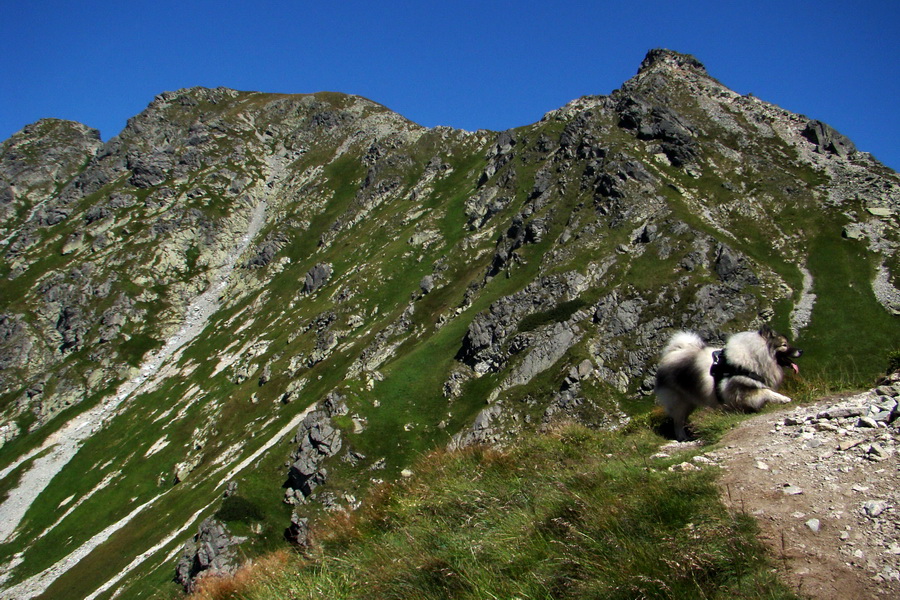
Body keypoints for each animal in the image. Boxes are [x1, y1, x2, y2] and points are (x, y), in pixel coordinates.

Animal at [652, 326, 800, 442]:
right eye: (784, 345)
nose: (801, 351)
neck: (754, 359)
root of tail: (674, 352)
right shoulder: (741, 389)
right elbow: (766, 391)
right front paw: (784, 398)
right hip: (679, 402)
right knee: (677, 421)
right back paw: (682, 437)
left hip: (689, 402)